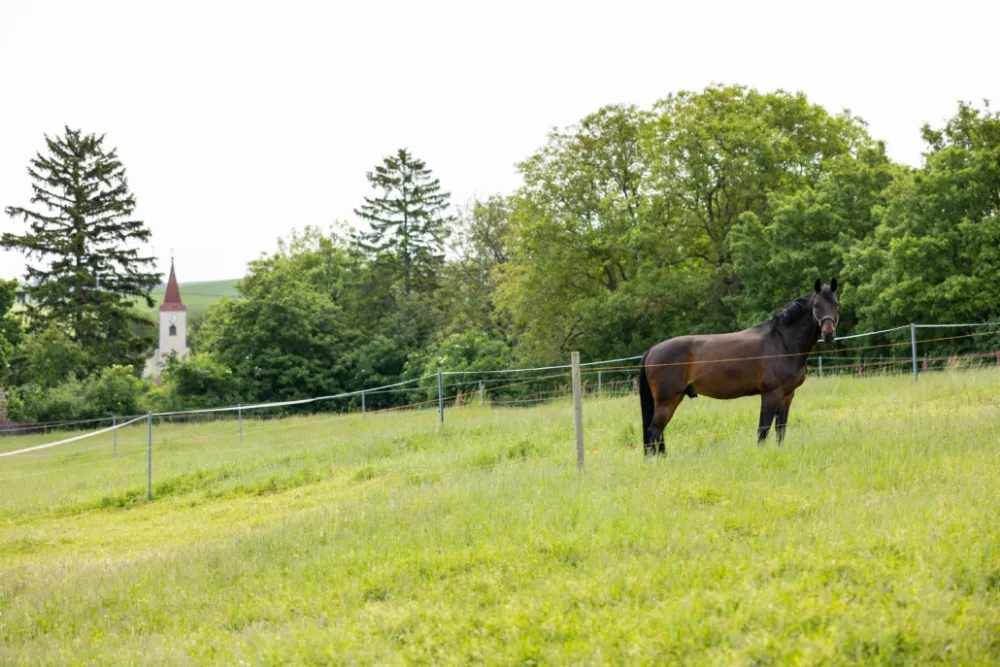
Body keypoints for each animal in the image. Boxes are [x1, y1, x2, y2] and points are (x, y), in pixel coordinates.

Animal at [638, 279, 839, 454]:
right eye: (816, 306)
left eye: (836, 304)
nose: (829, 334)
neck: (782, 342)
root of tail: (651, 351)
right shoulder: (770, 394)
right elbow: (763, 430)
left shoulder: (787, 395)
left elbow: (780, 429)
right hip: (667, 400)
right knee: (654, 431)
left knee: (658, 433)